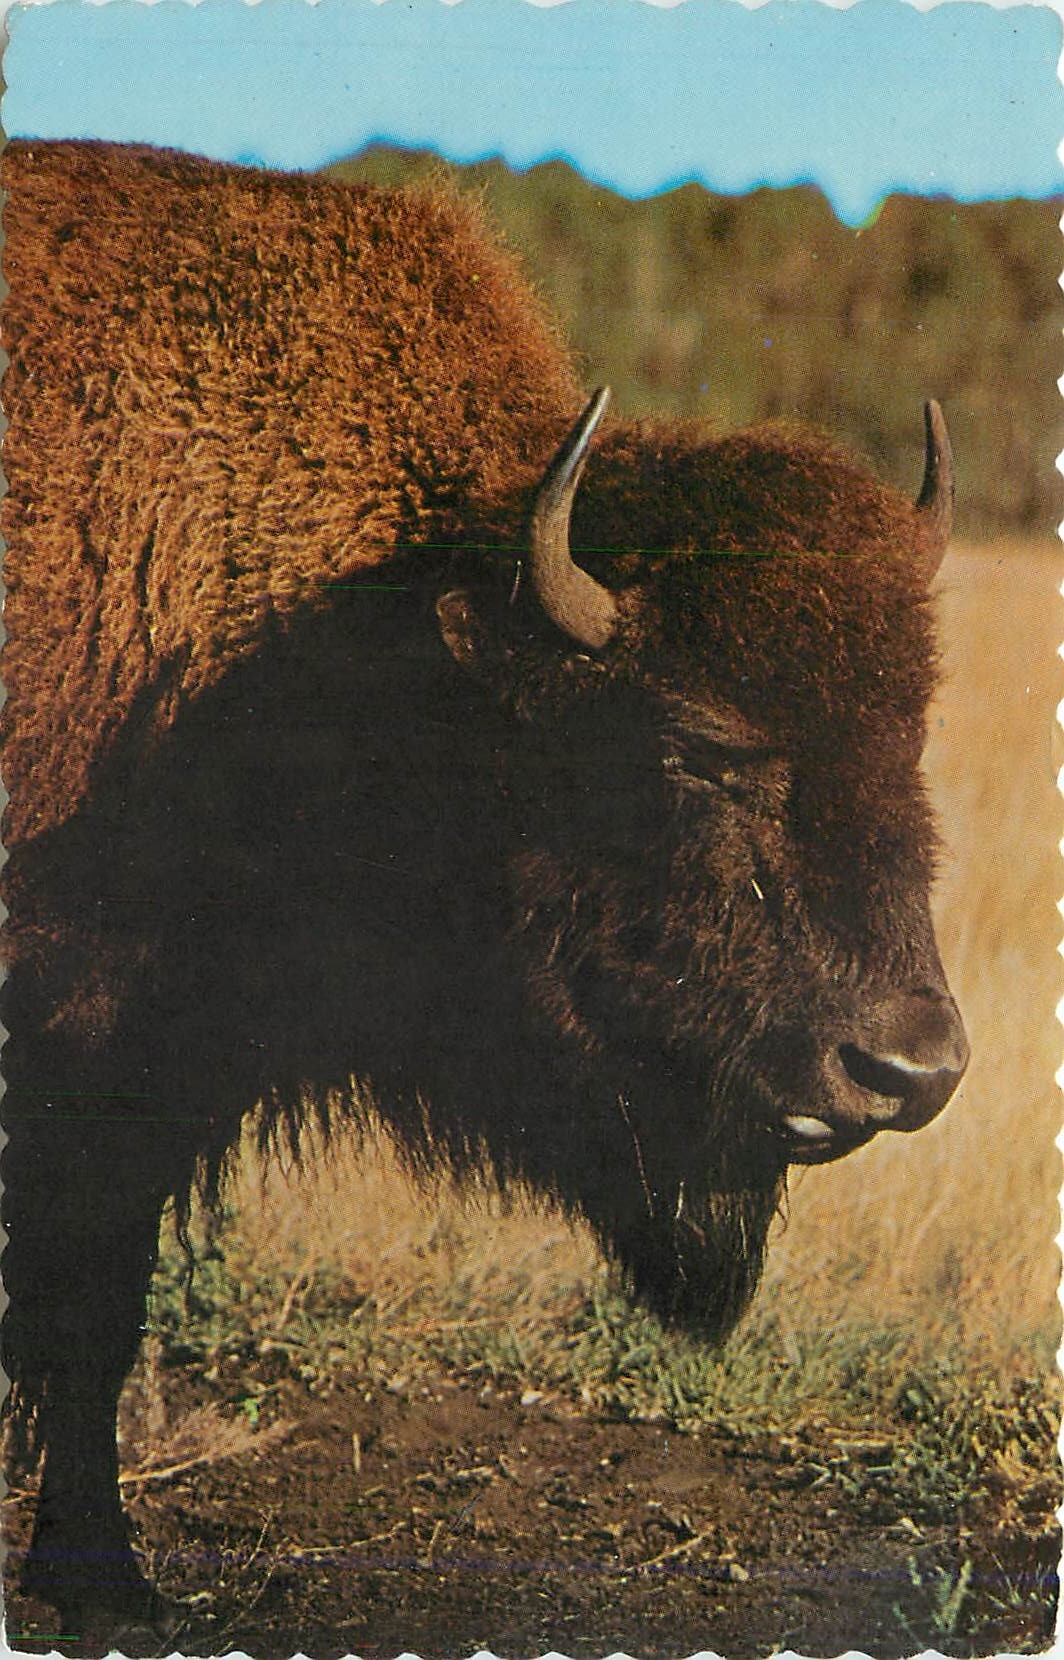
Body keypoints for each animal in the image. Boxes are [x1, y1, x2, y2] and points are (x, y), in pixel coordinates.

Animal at [1, 140, 968, 1634]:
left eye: (909, 735)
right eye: (698, 748)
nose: (910, 1068)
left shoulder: (169, 1071)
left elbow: (94, 1315)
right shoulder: (83, 1056)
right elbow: (80, 1307)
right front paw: (107, 1588)